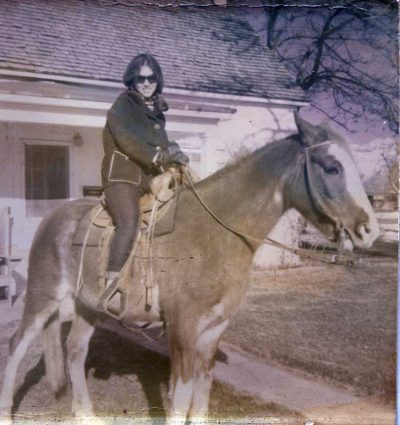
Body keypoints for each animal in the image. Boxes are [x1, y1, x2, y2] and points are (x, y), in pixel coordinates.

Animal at [0, 114, 380, 422]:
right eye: (332, 167)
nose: (369, 229)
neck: (217, 232)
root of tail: (53, 216)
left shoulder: (213, 330)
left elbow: (201, 398)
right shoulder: (183, 328)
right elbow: (181, 400)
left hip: (88, 306)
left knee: (76, 350)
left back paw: (86, 414)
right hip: (43, 298)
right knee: (17, 345)